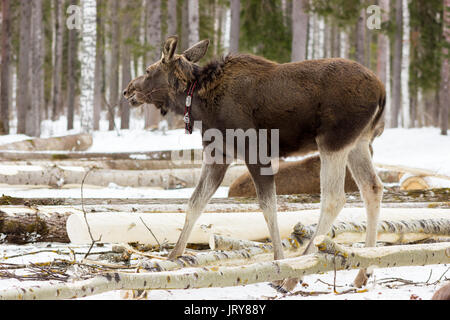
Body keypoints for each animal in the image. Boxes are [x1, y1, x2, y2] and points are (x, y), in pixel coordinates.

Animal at [124, 35, 386, 292]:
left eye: (148, 70)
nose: (128, 90)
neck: (199, 104)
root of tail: (382, 92)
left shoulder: (254, 151)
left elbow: (268, 207)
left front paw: (280, 268)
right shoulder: (218, 154)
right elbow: (195, 203)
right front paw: (172, 257)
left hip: (332, 141)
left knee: (334, 198)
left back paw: (294, 278)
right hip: (358, 143)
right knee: (372, 187)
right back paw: (363, 272)